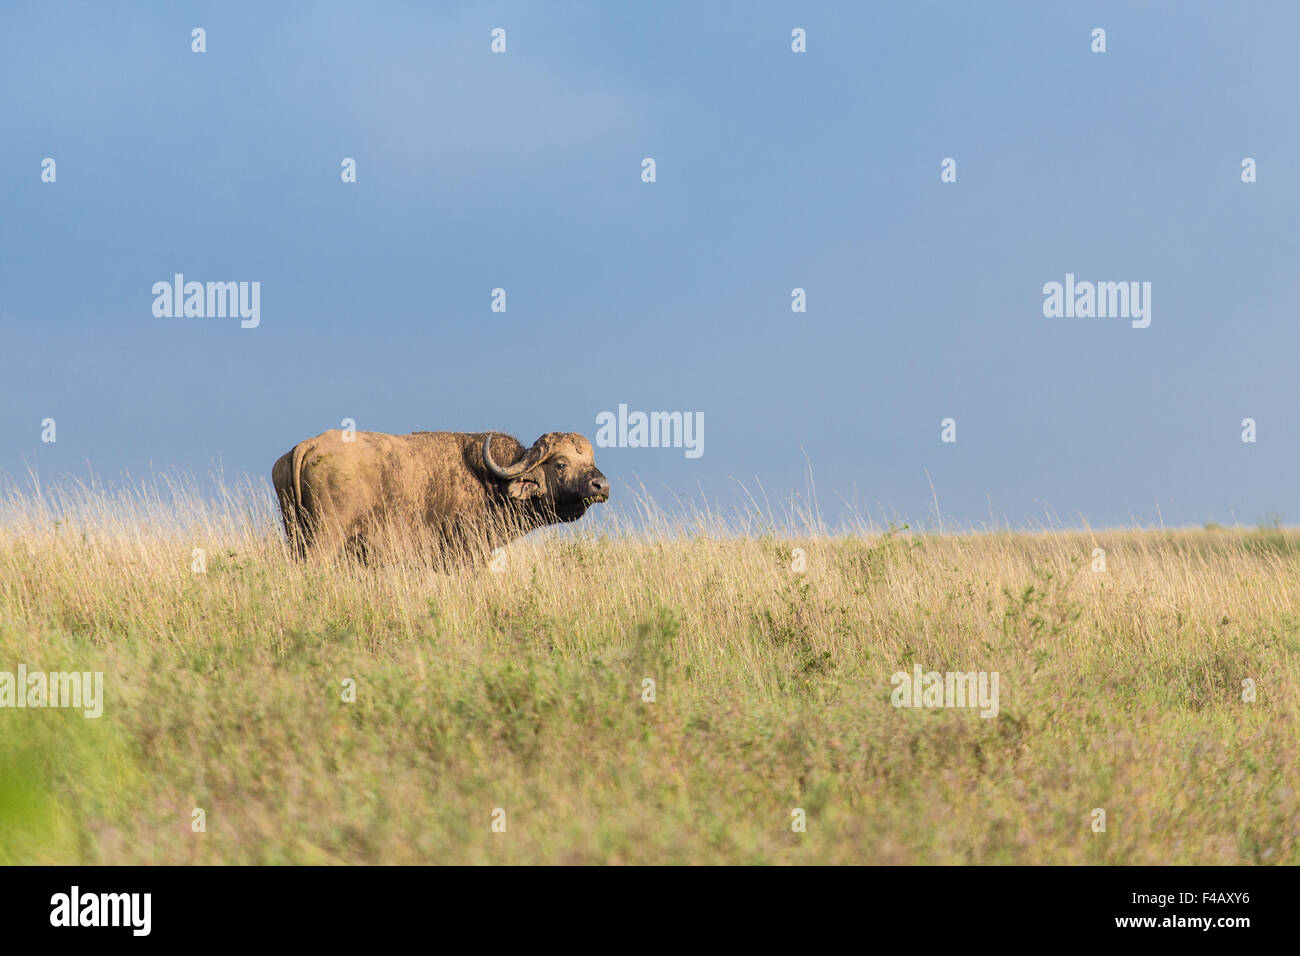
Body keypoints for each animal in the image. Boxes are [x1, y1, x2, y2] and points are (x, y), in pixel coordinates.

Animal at [270, 429, 613, 561]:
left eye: (590, 459)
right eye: (561, 464)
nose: (602, 486)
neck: (491, 482)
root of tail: (310, 445)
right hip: (324, 539)